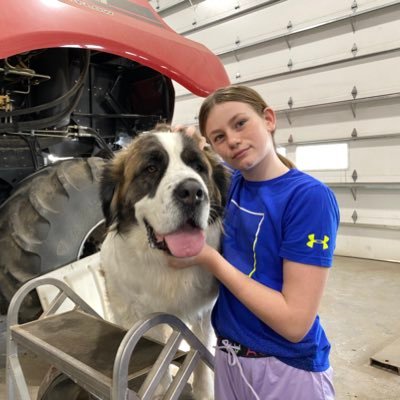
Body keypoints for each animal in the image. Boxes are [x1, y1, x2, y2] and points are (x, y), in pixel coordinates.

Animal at [99, 123, 230, 398]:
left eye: (199, 167)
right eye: (151, 168)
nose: (192, 192)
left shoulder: (203, 312)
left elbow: (199, 354)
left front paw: (203, 391)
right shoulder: (138, 316)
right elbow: (157, 361)